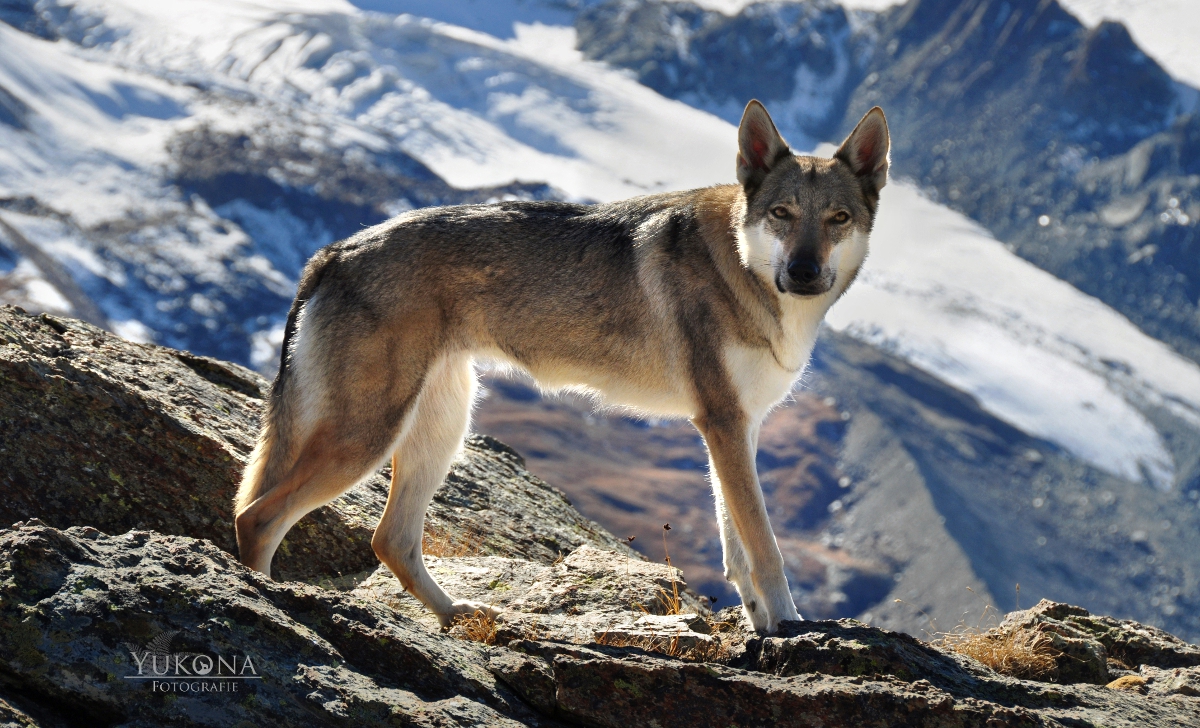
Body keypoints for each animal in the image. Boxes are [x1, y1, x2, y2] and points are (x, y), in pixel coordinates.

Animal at [236, 99, 892, 633]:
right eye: (782, 213)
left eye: (837, 219)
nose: (804, 272)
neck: (747, 273)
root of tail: (334, 251)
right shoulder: (724, 425)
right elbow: (765, 545)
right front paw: (792, 628)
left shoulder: (736, 427)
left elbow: (737, 548)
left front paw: (761, 628)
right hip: (367, 437)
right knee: (256, 518)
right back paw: (262, 603)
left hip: (441, 428)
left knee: (388, 539)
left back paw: (457, 614)